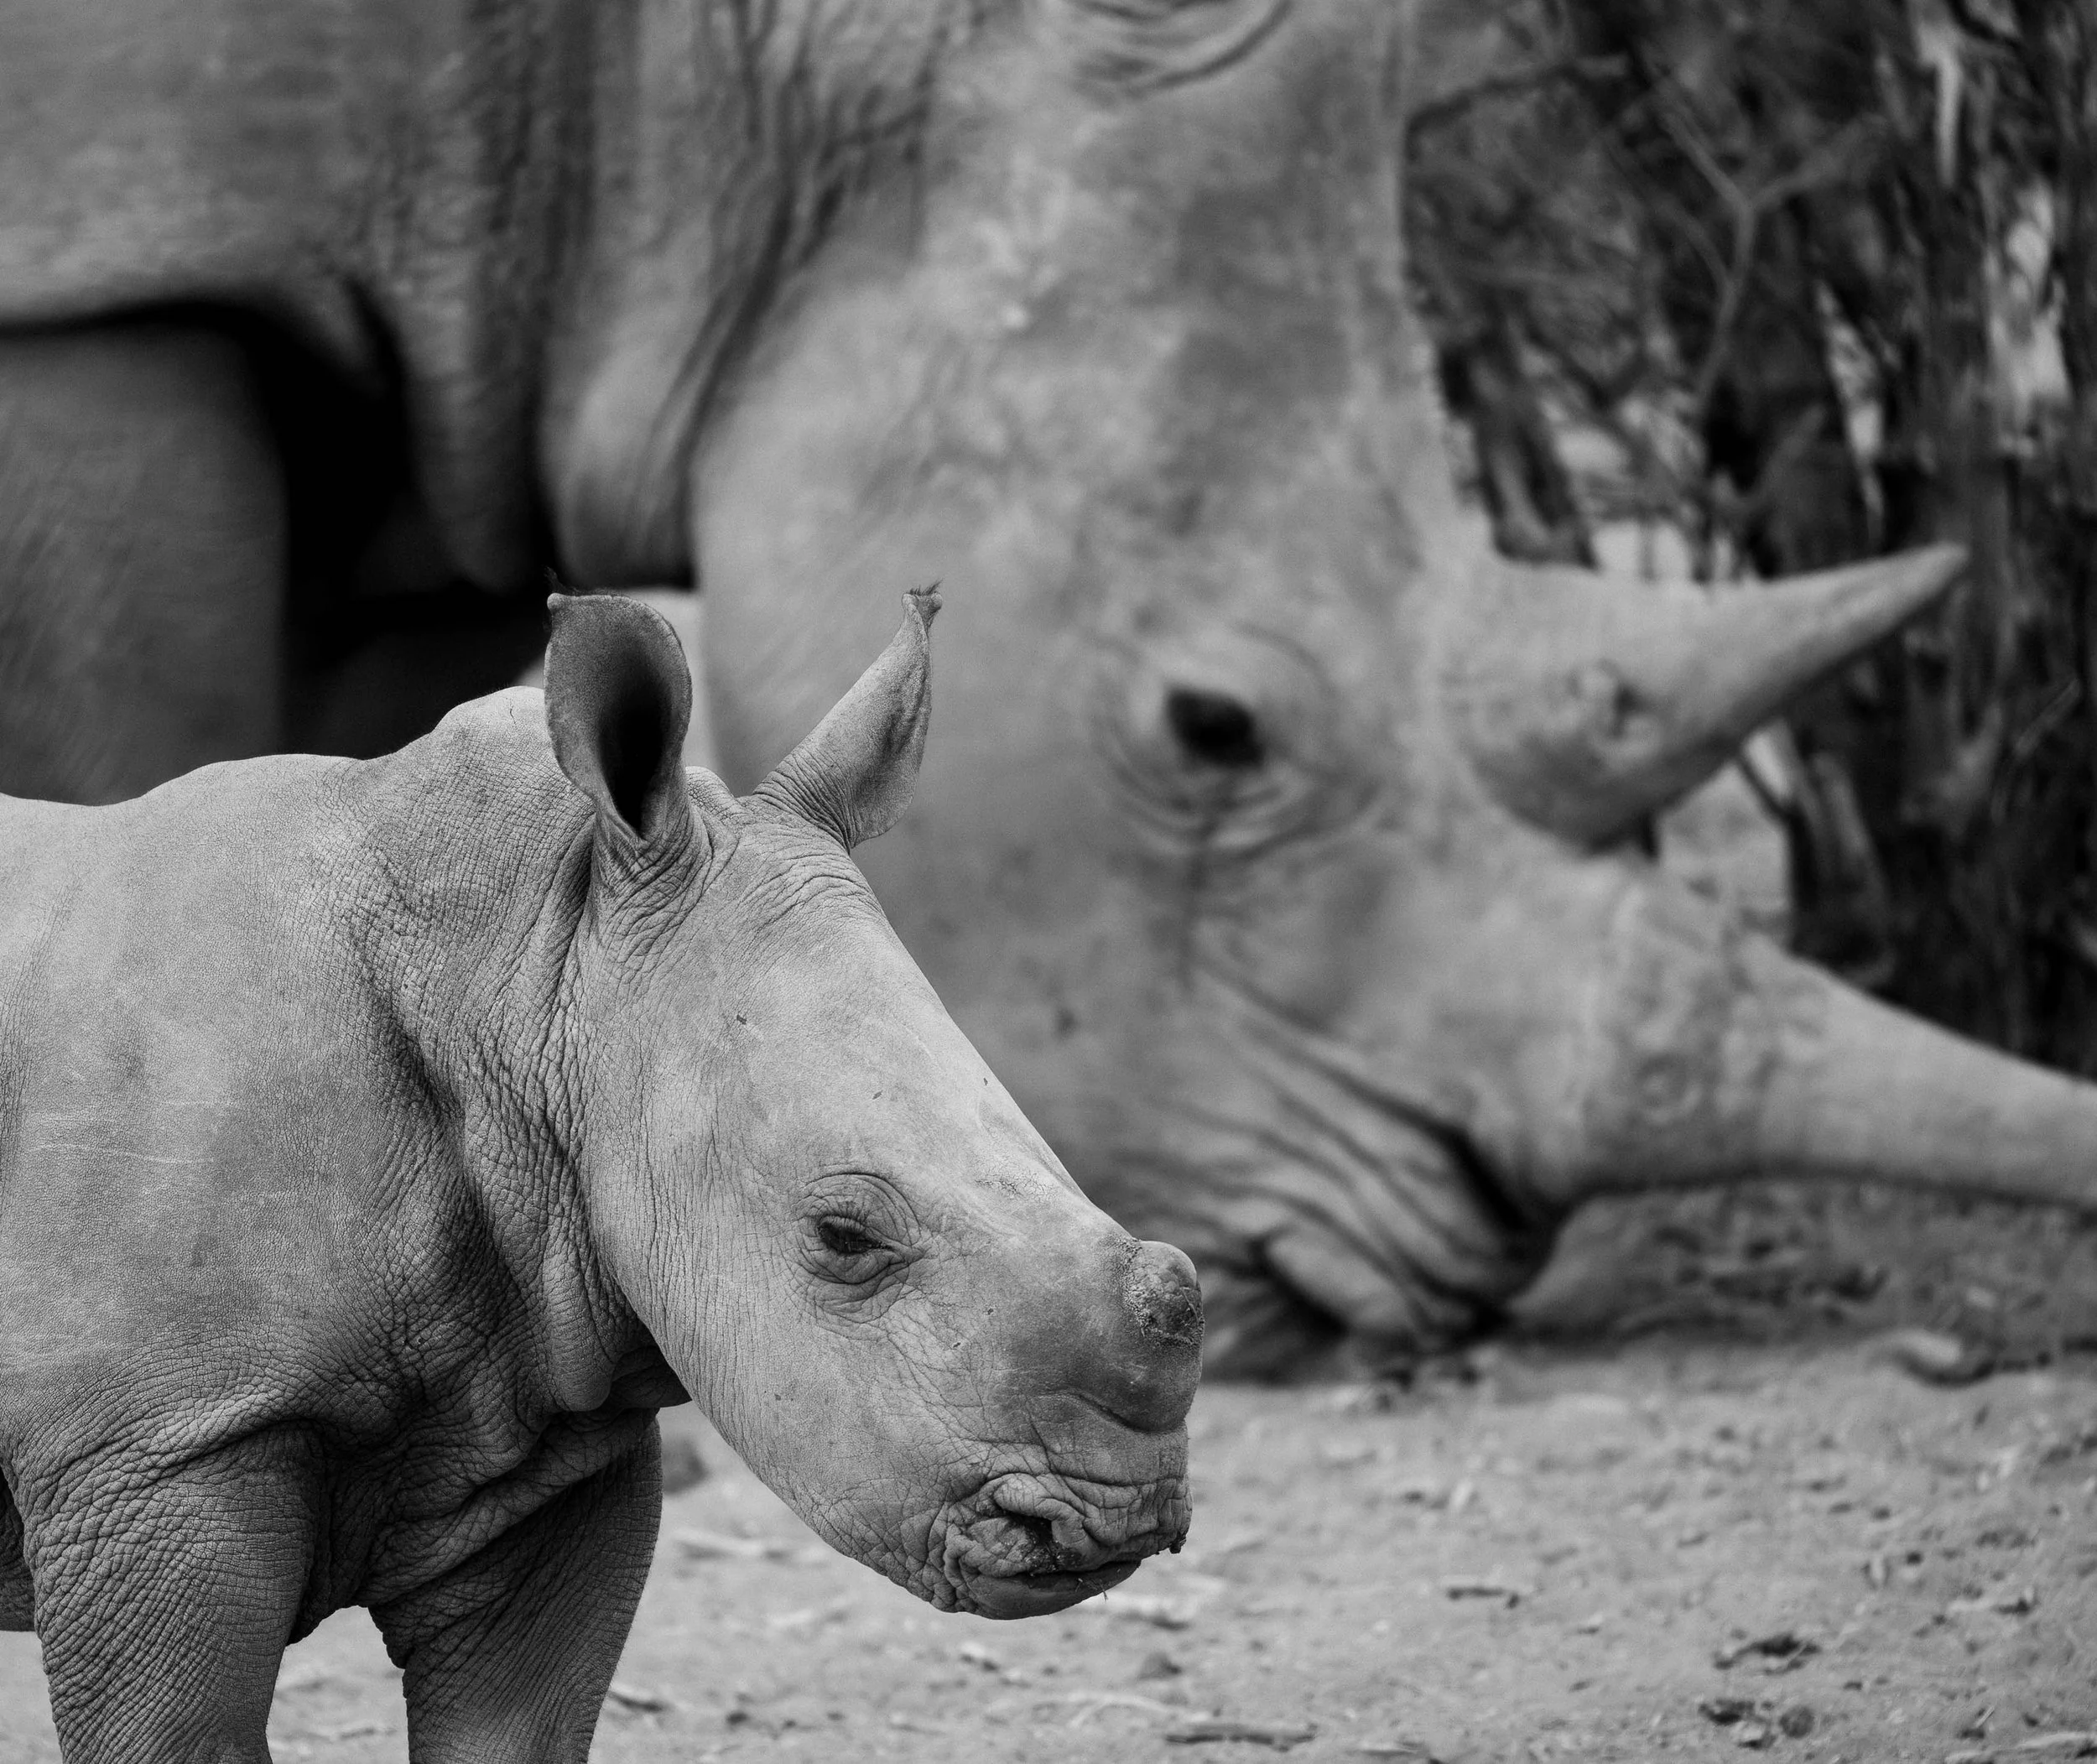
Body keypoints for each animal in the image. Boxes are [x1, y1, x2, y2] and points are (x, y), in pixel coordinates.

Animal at [0, 589, 1201, 1762]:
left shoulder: (541, 1424)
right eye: (844, 1238)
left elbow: (519, 1725)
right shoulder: (157, 1450)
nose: (1119, 1518)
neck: (522, 967)